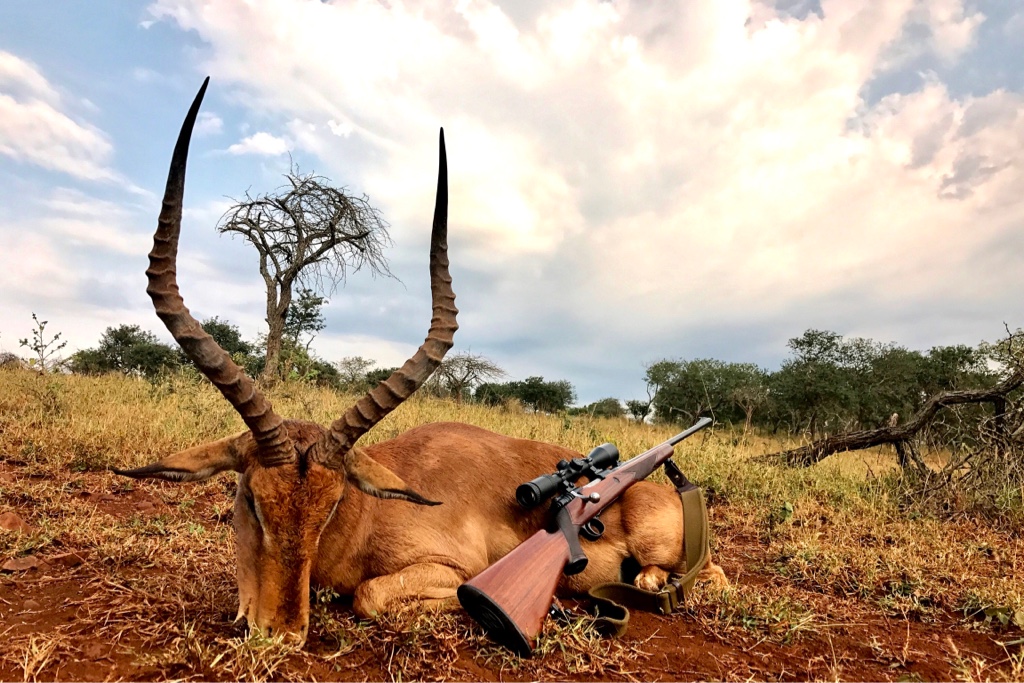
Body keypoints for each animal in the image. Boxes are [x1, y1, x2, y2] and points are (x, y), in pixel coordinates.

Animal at [116, 79, 726, 645]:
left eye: (331, 505)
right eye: (249, 499)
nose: (281, 630)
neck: (367, 518)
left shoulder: (449, 571)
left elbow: (369, 596)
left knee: (708, 574)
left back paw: (647, 582)